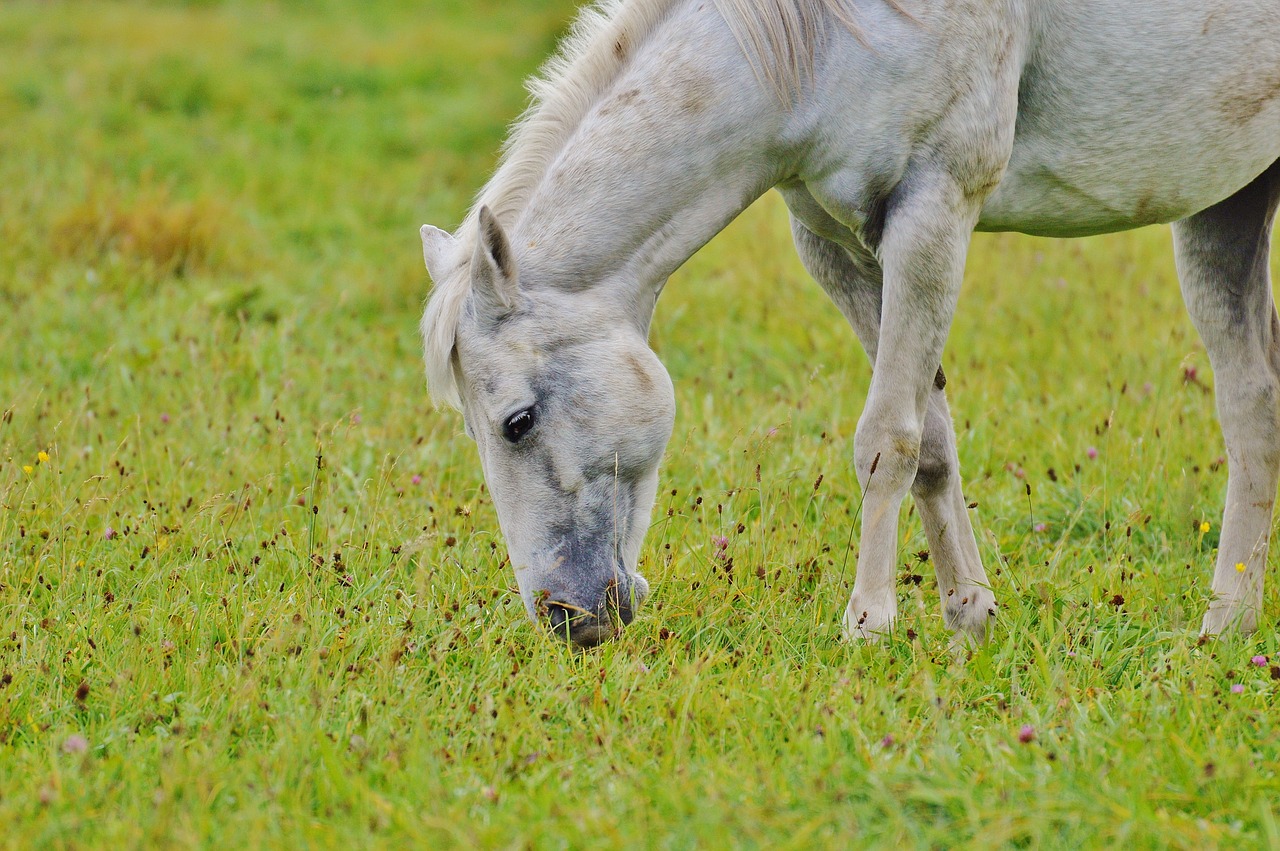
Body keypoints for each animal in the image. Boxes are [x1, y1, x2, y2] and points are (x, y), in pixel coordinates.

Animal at [419, 0, 1280, 644]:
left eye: (518, 421)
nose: (564, 616)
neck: (827, 38)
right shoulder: (835, 244)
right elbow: (930, 442)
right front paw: (968, 614)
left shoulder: (932, 215)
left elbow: (886, 438)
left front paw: (868, 621)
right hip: (1225, 211)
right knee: (1253, 406)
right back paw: (1229, 623)